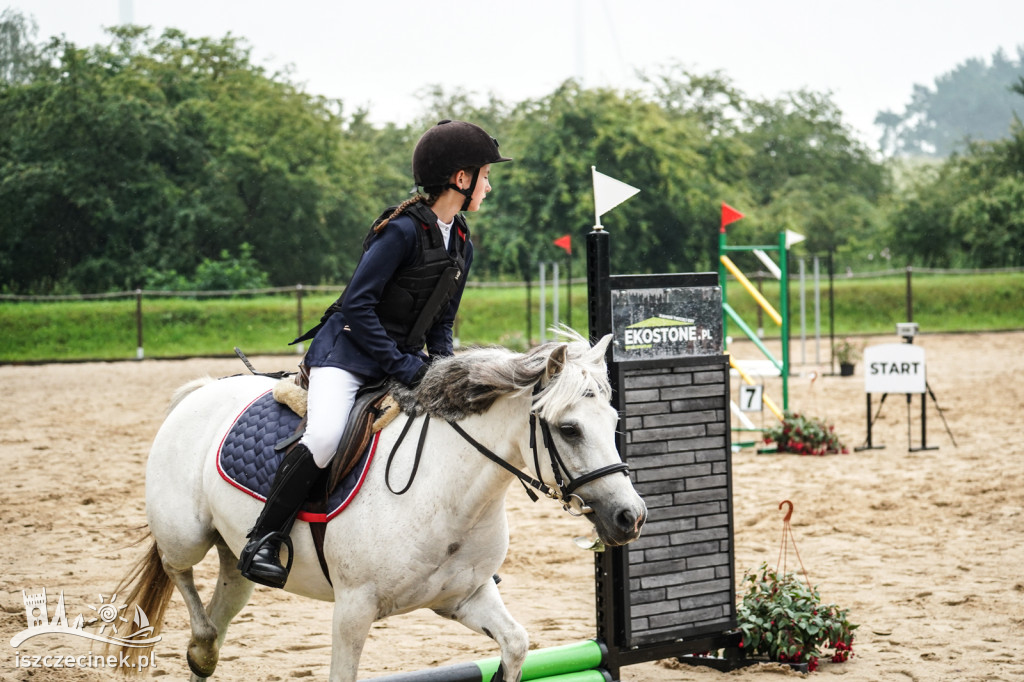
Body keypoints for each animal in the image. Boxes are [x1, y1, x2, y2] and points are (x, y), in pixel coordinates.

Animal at [116, 331, 643, 675]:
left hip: (235, 559)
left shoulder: (464, 597)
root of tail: (203, 389)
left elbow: (515, 645)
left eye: (614, 419)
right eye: (569, 429)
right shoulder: (353, 610)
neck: (451, 495)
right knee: (179, 571)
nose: (630, 517)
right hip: (187, 534)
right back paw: (202, 647)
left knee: (224, 601)